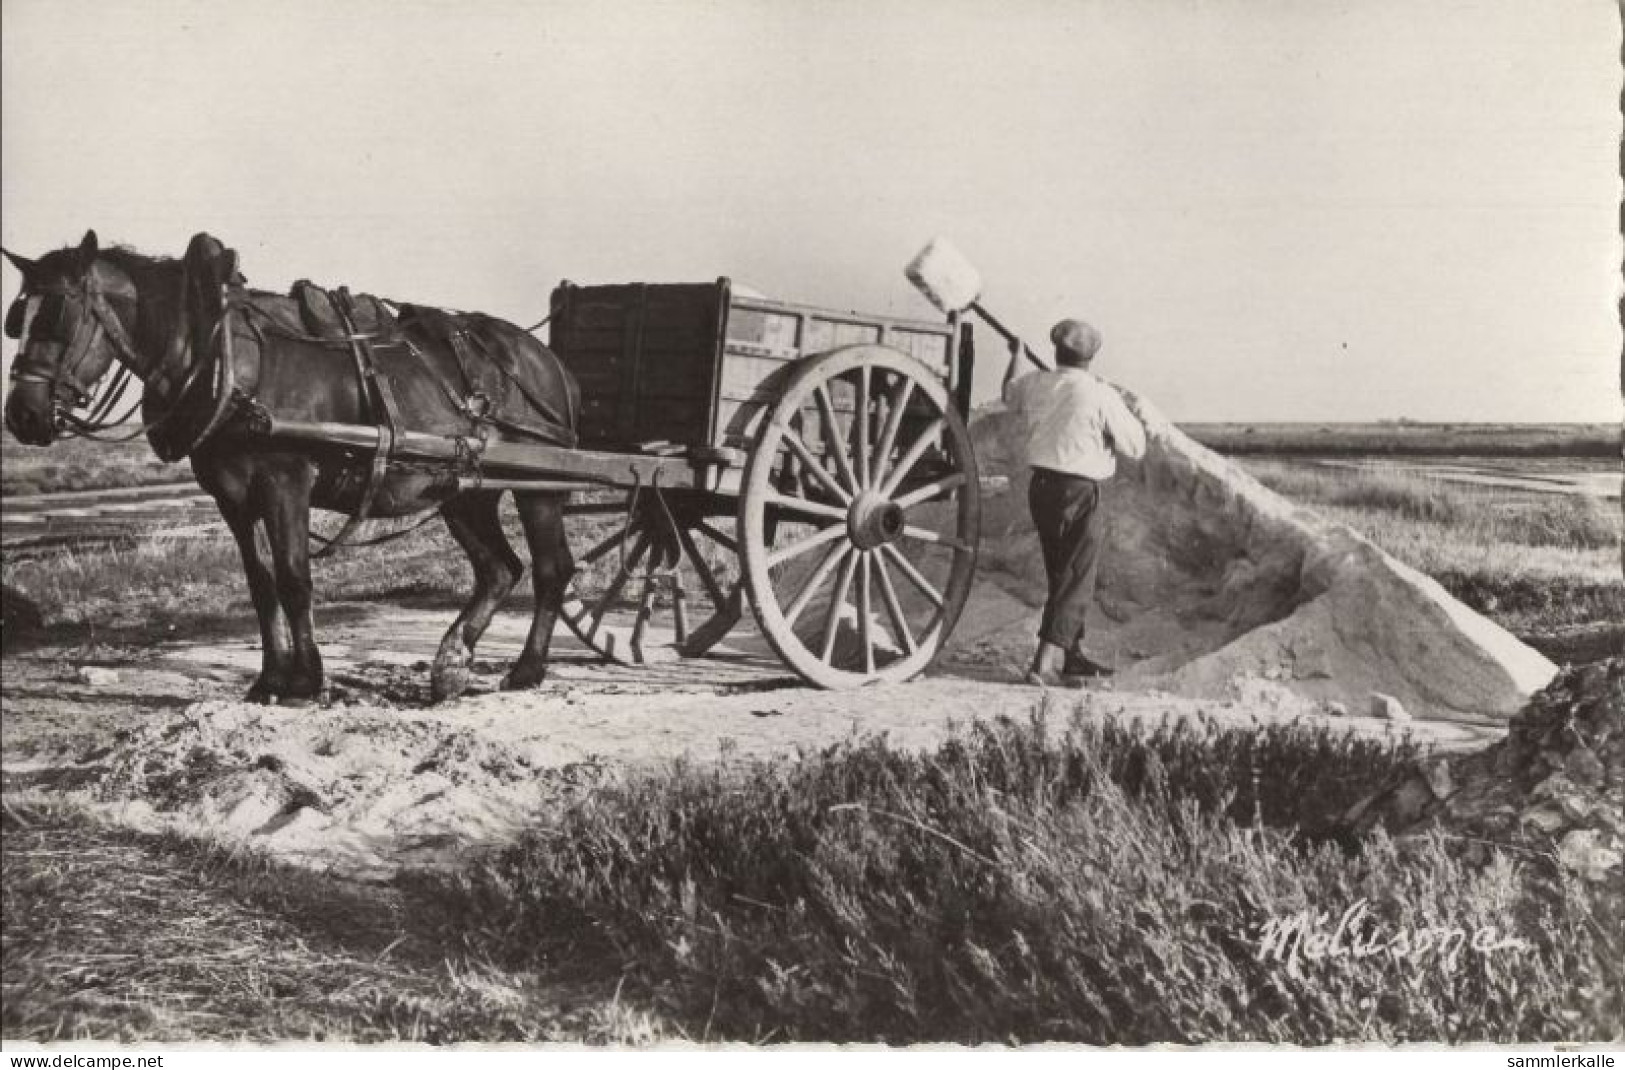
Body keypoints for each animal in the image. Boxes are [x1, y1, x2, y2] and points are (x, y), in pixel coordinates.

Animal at [3, 229, 578, 705]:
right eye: (15, 320)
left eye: (58, 315)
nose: (22, 415)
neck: (224, 361)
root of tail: (543, 356)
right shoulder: (233, 498)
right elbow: (262, 587)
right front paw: (269, 679)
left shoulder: (287, 482)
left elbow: (295, 579)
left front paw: (305, 681)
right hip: (464, 490)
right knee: (499, 569)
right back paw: (452, 661)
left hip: (539, 485)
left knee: (551, 570)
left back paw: (527, 669)